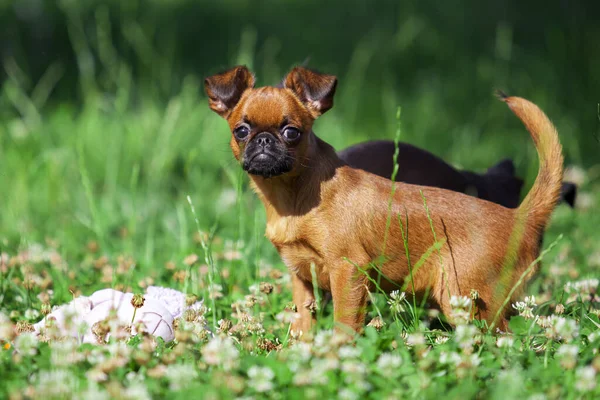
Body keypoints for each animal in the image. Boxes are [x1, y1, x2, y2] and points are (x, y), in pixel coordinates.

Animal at [205, 65, 564, 334]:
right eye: (241, 131)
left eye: (292, 132)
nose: (264, 140)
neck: (294, 195)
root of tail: (520, 217)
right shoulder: (303, 279)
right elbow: (304, 321)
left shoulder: (348, 271)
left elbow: (344, 323)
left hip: (466, 299)